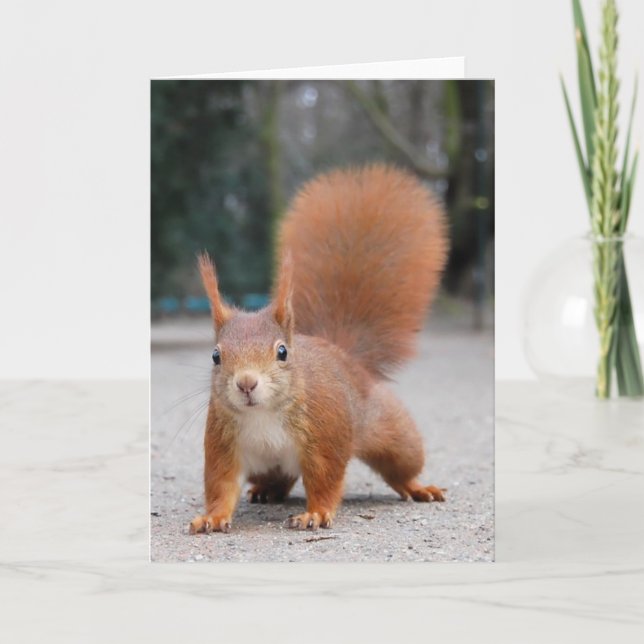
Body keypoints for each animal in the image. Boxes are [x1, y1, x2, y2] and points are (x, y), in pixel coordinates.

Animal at [189, 164, 449, 534]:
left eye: (283, 352)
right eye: (215, 356)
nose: (246, 383)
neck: (263, 414)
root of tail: (344, 354)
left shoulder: (325, 437)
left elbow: (324, 480)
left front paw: (316, 513)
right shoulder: (223, 444)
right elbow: (220, 485)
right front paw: (211, 517)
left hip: (393, 434)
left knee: (401, 466)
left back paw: (417, 487)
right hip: (266, 465)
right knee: (279, 477)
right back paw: (266, 491)